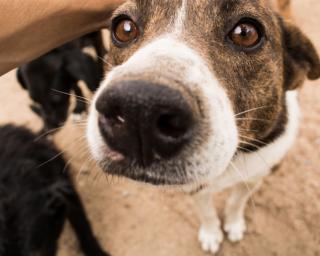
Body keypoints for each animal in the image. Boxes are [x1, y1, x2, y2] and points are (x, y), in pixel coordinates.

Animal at [86, 0, 318, 252]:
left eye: (246, 33)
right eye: (124, 29)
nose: (140, 108)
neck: (232, 161)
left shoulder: (256, 175)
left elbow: (236, 201)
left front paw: (234, 224)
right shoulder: (195, 187)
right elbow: (206, 211)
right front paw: (211, 233)